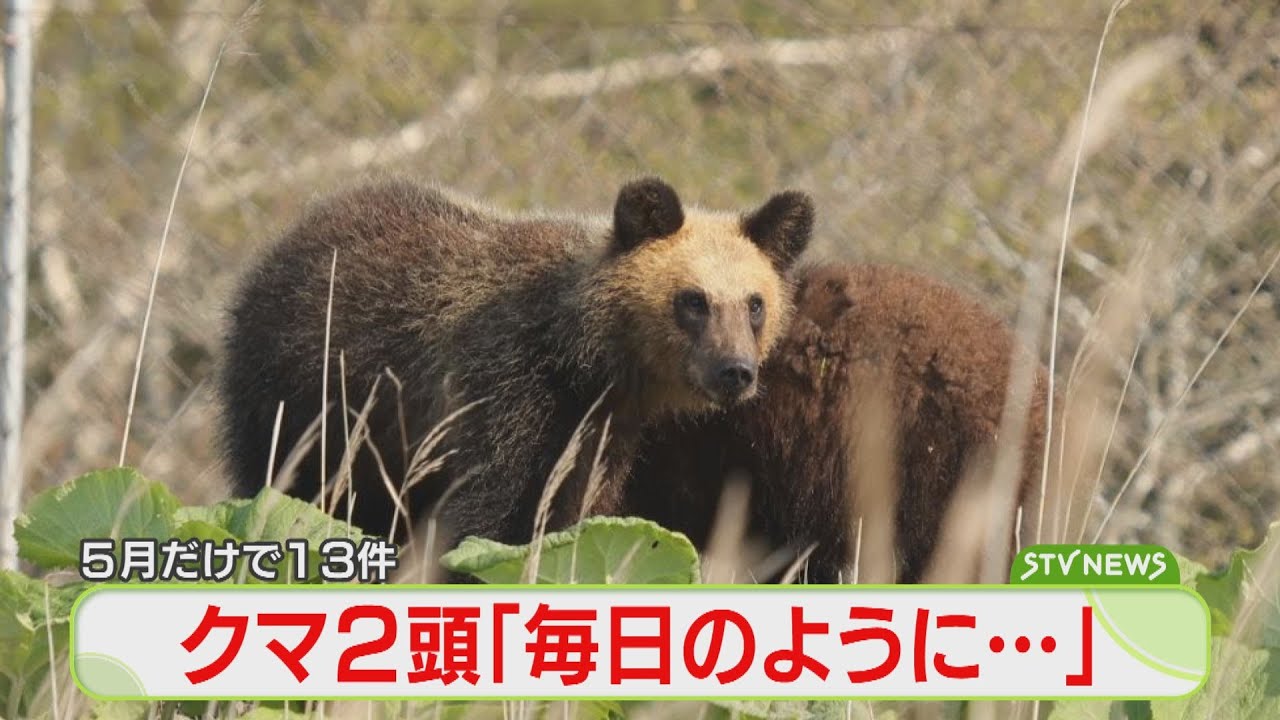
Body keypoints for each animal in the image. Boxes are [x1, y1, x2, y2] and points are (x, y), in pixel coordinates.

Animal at [217, 175, 815, 567]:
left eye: (755, 303)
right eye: (693, 300)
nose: (735, 371)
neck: (583, 357)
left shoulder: (598, 436)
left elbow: (577, 515)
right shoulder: (503, 393)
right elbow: (490, 523)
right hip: (299, 396)